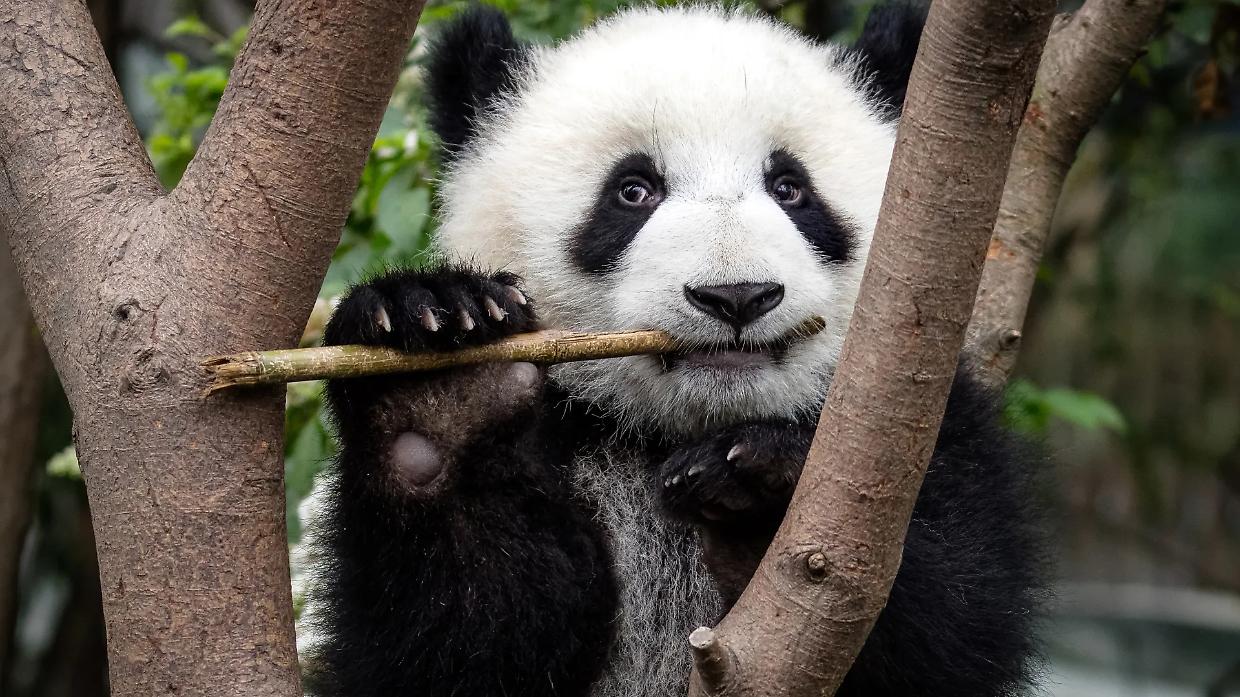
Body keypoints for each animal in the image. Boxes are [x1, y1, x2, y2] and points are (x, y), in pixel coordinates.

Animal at [305, 3, 1045, 697]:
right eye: (633, 190)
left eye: (791, 189)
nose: (737, 295)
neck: (672, 432)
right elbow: (464, 638)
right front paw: (443, 388)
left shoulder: (924, 426)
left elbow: (951, 618)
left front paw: (757, 490)